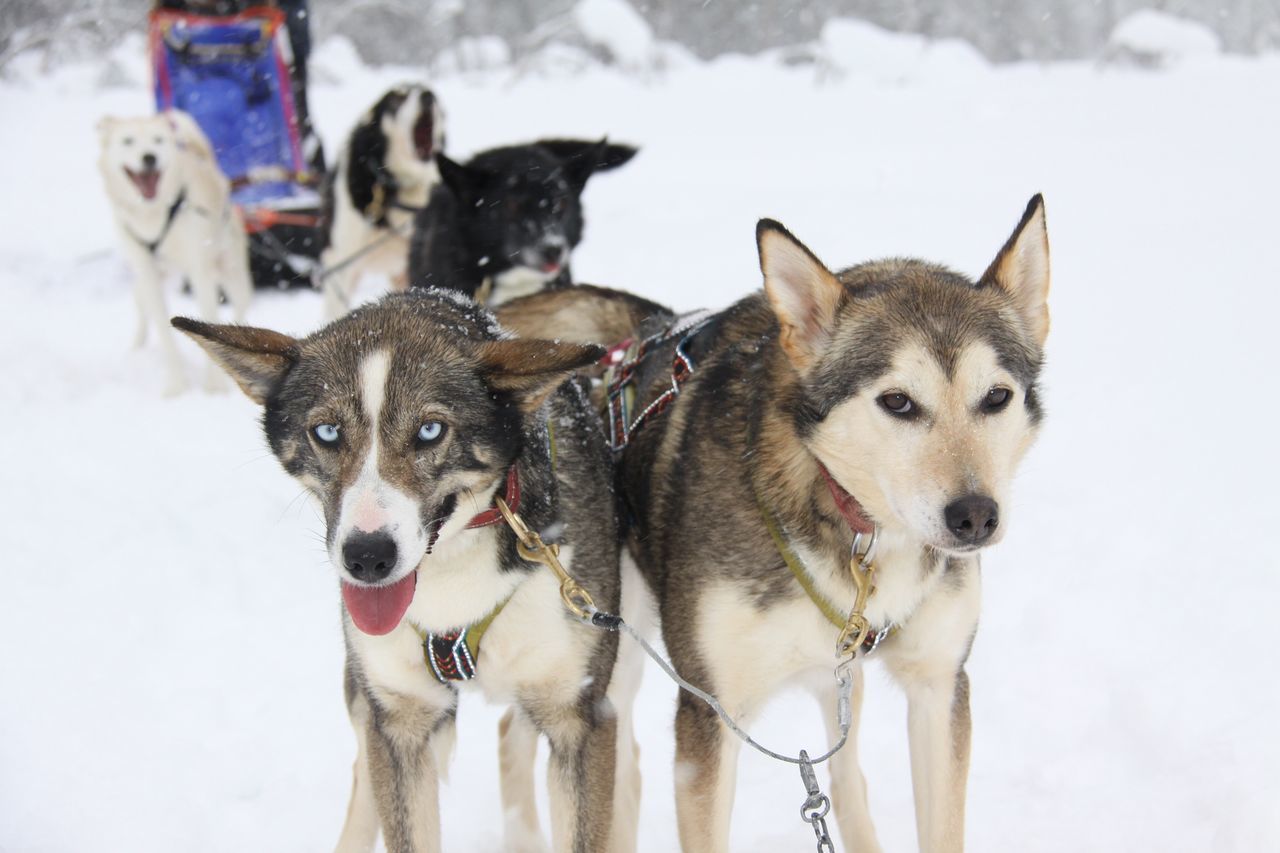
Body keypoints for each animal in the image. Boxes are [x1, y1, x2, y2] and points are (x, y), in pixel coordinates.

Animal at [97, 106, 252, 394]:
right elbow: (165, 333)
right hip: (150, 279)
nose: (149, 157)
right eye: (128, 141)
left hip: (232, 274)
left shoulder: (202, 272)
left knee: (241, 307)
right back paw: (137, 346)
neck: (154, 214)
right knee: (140, 303)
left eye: (158, 140)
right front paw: (177, 386)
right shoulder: (148, 274)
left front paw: (214, 386)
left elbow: (210, 320)